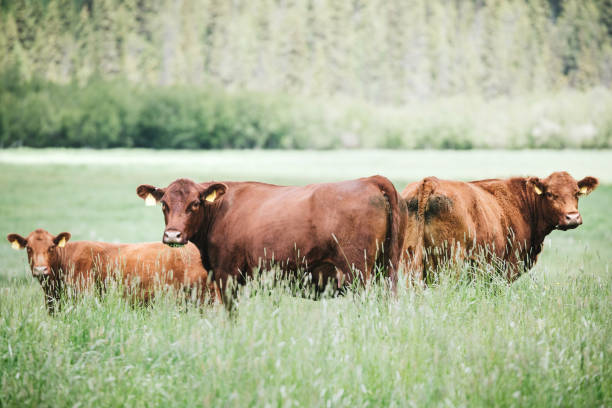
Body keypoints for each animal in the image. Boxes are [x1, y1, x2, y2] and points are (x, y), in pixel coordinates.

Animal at [136, 175, 408, 300]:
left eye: (194, 204)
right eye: (164, 204)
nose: (173, 234)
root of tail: (369, 180)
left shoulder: (227, 275)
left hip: (357, 271)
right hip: (386, 267)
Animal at [402, 171, 596, 282]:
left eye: (576, 193)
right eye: (550, 194)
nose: (572, 217)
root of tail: (430, 181)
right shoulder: (508, 267)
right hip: (450, 261)